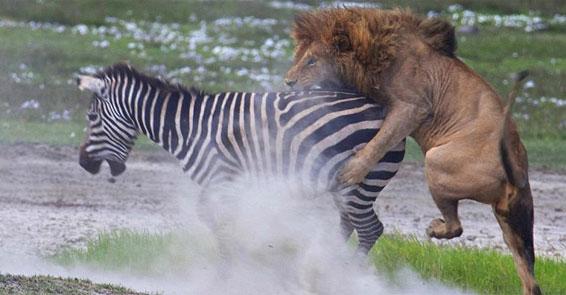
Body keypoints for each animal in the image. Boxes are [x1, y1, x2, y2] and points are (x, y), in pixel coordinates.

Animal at [77, 64, 406, 254]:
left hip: (361, 184)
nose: (83, 164)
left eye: (91, 117)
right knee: (349, 225)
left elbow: (216, 221)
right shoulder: (227, 185)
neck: (191, 127)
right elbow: (221, 220)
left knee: (370, 230)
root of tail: (385, 112)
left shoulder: (222, 178)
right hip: (344, 186)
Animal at [286, 8, 544, 294]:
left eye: (311, 61)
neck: (375, 54)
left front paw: (352, 171)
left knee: (456, 226)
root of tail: (515, 173)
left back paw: (434, 229)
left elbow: (382, 139)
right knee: (530, 278)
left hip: (435, 160)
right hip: (516, 223)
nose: (288, 82)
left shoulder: (413, 107)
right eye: (298, 57)